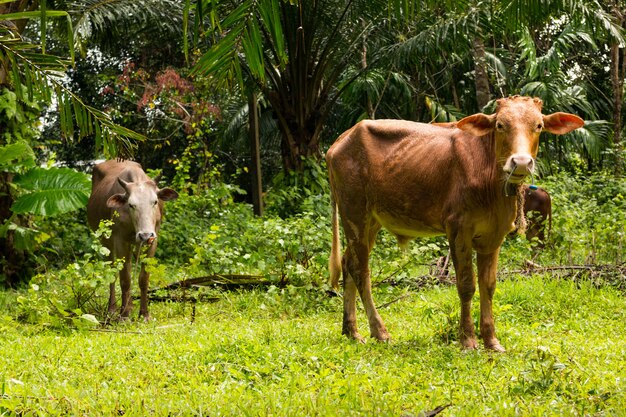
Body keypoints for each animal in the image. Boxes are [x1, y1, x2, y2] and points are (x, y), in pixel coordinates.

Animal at [87, 159, 178, 318]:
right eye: (131, 204)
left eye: (155, 202)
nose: (145, 235)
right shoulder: (120, 240)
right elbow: (125, 279)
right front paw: (124, 315)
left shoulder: (152, 241)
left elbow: (143, 278)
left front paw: (144, 314)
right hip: (107, 242)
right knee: (113, 271)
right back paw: (113, 308)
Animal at [326, 96, 580, 350]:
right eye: (500, 125)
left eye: (538, 125)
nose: (520, 162)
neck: (490, 177)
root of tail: (339, 141)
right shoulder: (458, 229)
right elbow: (467, 285)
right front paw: (467, 339)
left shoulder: (494, 236)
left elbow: (489, 285)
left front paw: (491, 340)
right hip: (354, 213)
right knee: (360, 270)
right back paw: (379, 331)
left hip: (371, 221)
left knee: (348, 263)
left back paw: (351, 331)